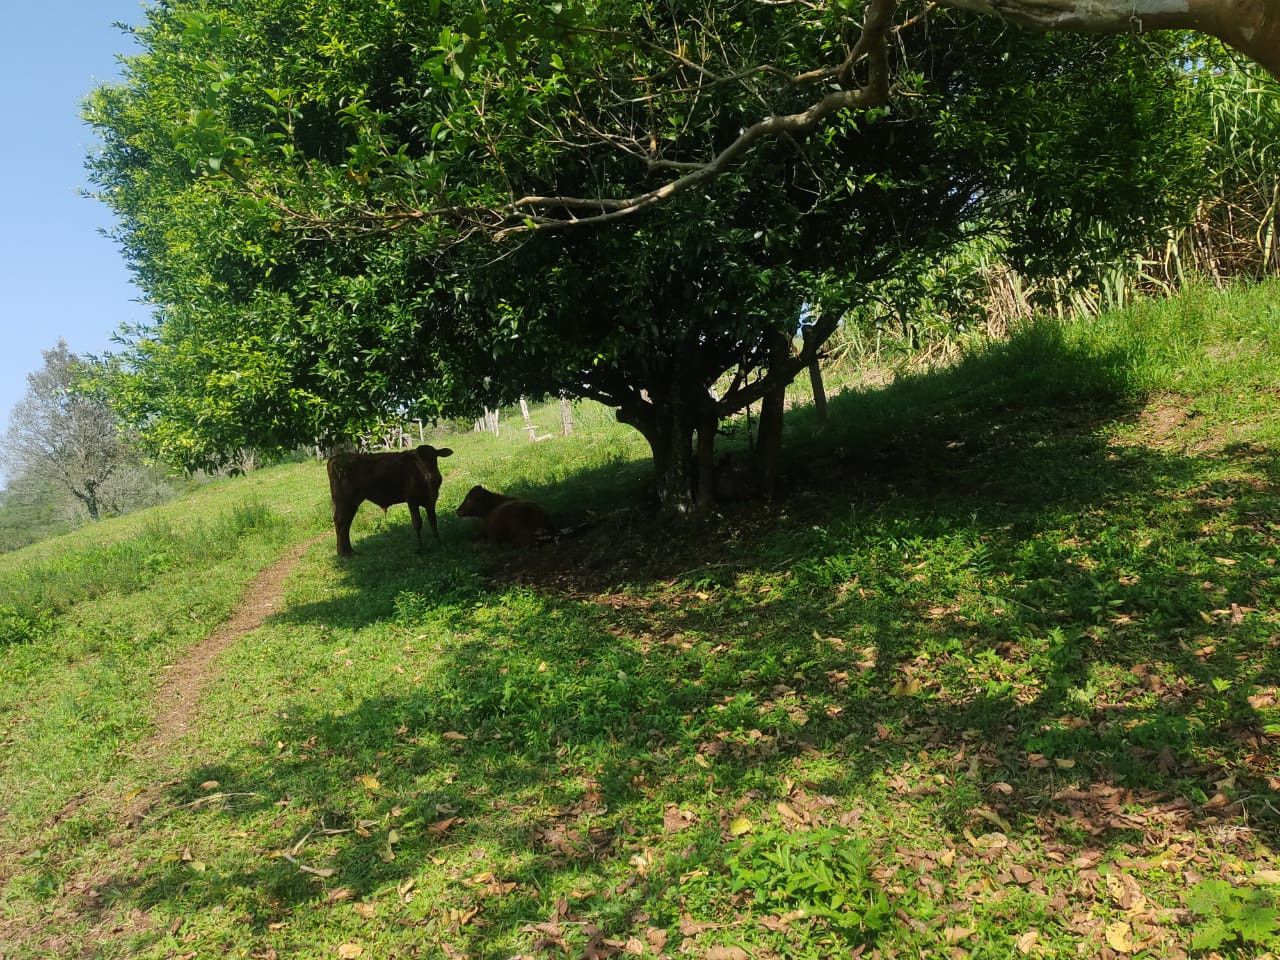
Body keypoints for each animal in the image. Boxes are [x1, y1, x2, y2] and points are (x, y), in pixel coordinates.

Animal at [325, 448, 455, 560]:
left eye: (434, 457)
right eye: (417, 461)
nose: (430, 476)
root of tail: (336, 458)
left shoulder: (431, 500)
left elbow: (433, 520)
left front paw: (438, 542)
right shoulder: (411, 500)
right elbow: (417, 523)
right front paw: (420, 548)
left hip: (352, 503)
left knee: (346, 523)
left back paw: (349, 551)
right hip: (344, 501)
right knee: (341, 522)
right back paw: (344, 553)